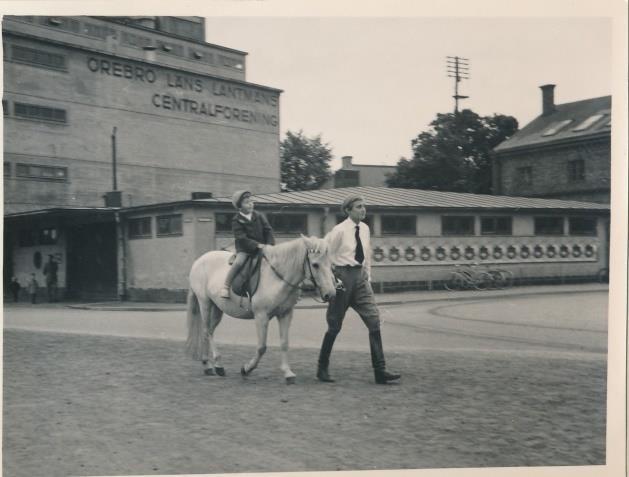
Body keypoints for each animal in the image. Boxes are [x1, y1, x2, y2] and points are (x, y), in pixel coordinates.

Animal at [184, 234, 336, 384]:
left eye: (331, 264)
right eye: (315, 265)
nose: (331, 294)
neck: (276, 277)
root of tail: (199, 260)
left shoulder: (285, 314)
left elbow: (284, 343)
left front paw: (288, 373)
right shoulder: (261, 316)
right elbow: (262, 347)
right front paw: (246, 369)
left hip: (217, 308)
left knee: (208, 331)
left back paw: (210, 365)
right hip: (205, 303)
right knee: (207, 330)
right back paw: (214, 365)